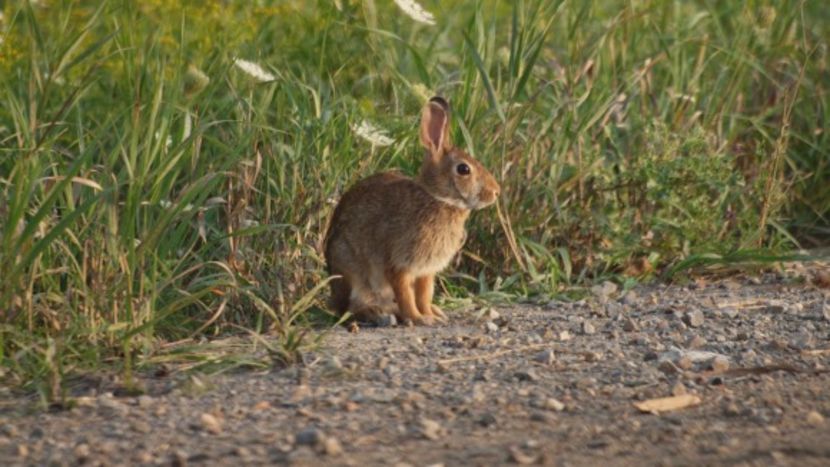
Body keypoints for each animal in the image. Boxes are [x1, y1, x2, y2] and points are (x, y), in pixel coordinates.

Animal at [324, 98, 500, 326]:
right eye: (463, 169)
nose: (496, 192)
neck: (438, 199)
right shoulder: (399, 264)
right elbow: (406, 295)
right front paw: (419, 319)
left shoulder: (426, 271)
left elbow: (424, 295)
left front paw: (430, 315)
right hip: (352, 273)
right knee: (351, 308)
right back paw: (379, 315)